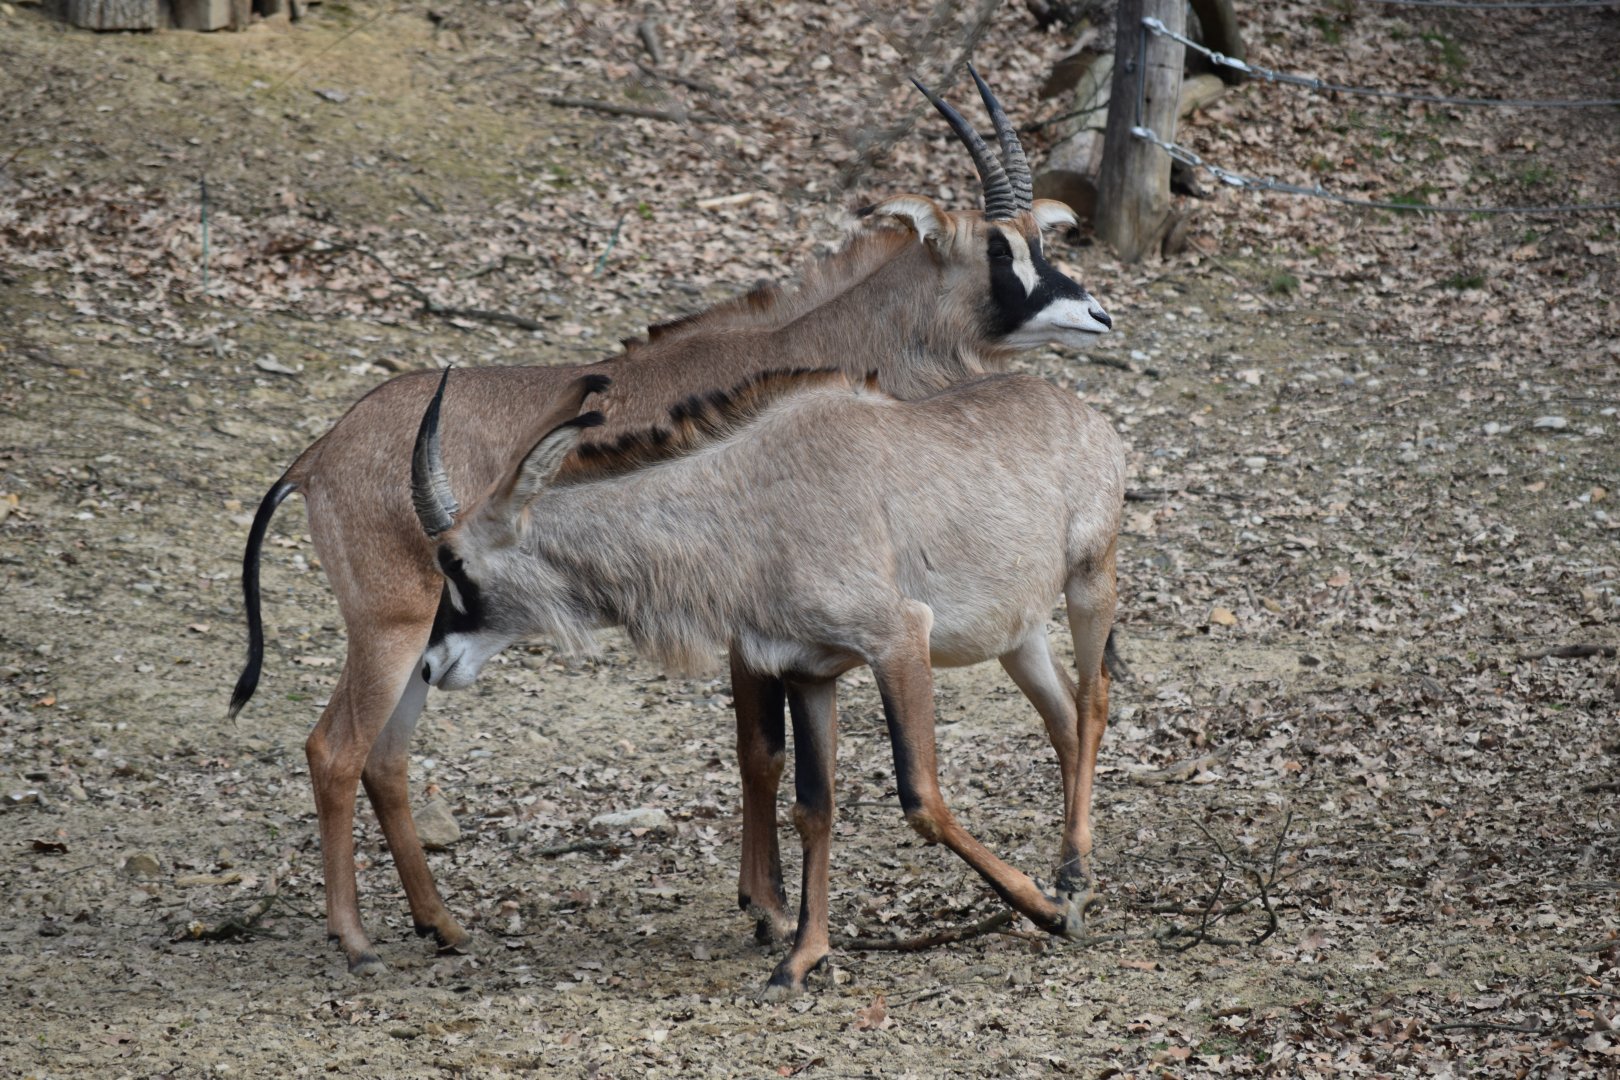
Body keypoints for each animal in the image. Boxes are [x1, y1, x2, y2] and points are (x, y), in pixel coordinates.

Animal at [410, 364, 1126, 994]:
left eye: (454, 560)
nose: (430, 665)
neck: (748, 505)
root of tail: (1086, 416)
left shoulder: (897, 639)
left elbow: (922, 798)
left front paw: (1049, 912)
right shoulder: (808, 671)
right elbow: (814, 808)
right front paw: (803, 957)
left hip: (1090, 581)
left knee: (1093, 702)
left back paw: (1073, 882)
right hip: (1018, 636)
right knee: (1062, 717)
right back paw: (1072, 872)